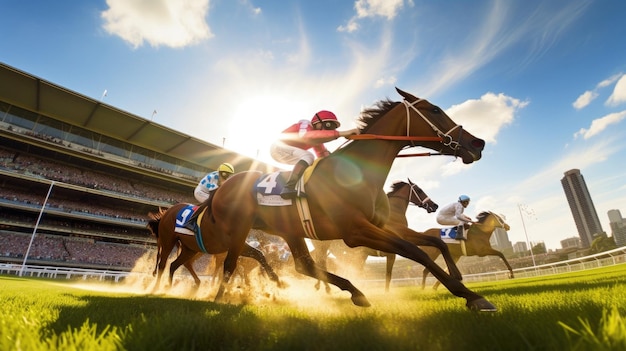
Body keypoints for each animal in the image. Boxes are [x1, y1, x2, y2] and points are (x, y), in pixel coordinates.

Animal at [210, 87, 498, 310]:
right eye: (435, 109)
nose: (477, 143)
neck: (355, 173)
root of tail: (221, 187)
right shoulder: (355, 231)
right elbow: (414, 251)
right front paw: (470, 296)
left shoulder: (378, 227)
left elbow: (430, 243)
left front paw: (460, 280)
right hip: (239, 227)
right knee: (231, 263)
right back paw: (219, 298)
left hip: (289, 231)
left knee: (303, 265)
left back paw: (355, 292)